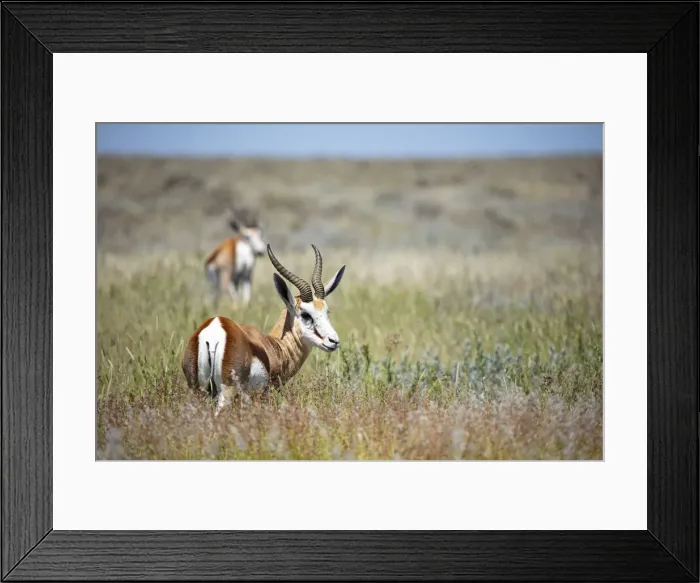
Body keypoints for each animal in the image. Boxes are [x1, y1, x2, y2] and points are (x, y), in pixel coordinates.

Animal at [183, 244, 346, 416]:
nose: (333, 341)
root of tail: (215, 328)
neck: (276, 347)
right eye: (306, 314)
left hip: (197, 391)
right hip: (226, 393)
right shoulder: (265, 395)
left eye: (326, 311)